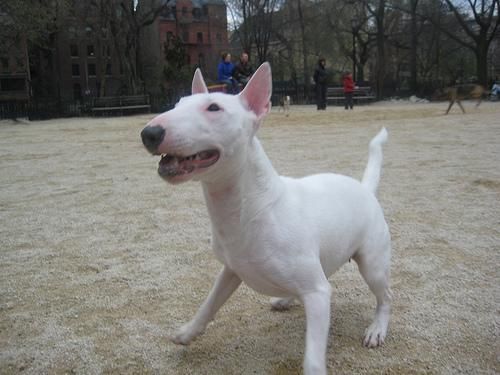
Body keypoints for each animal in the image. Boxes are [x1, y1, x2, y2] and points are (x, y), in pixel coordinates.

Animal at [140, 63, 390, 374]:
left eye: (214, 107)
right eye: (177, 104)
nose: (149, 133)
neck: (248, 209)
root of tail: (364, 188)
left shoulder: (318, 293)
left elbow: (312, 357)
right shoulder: (231, 271)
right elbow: (209, 303)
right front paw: (188, 332)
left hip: (372, 265)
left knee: (385, 297)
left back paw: (377, 328)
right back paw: (285, 298)